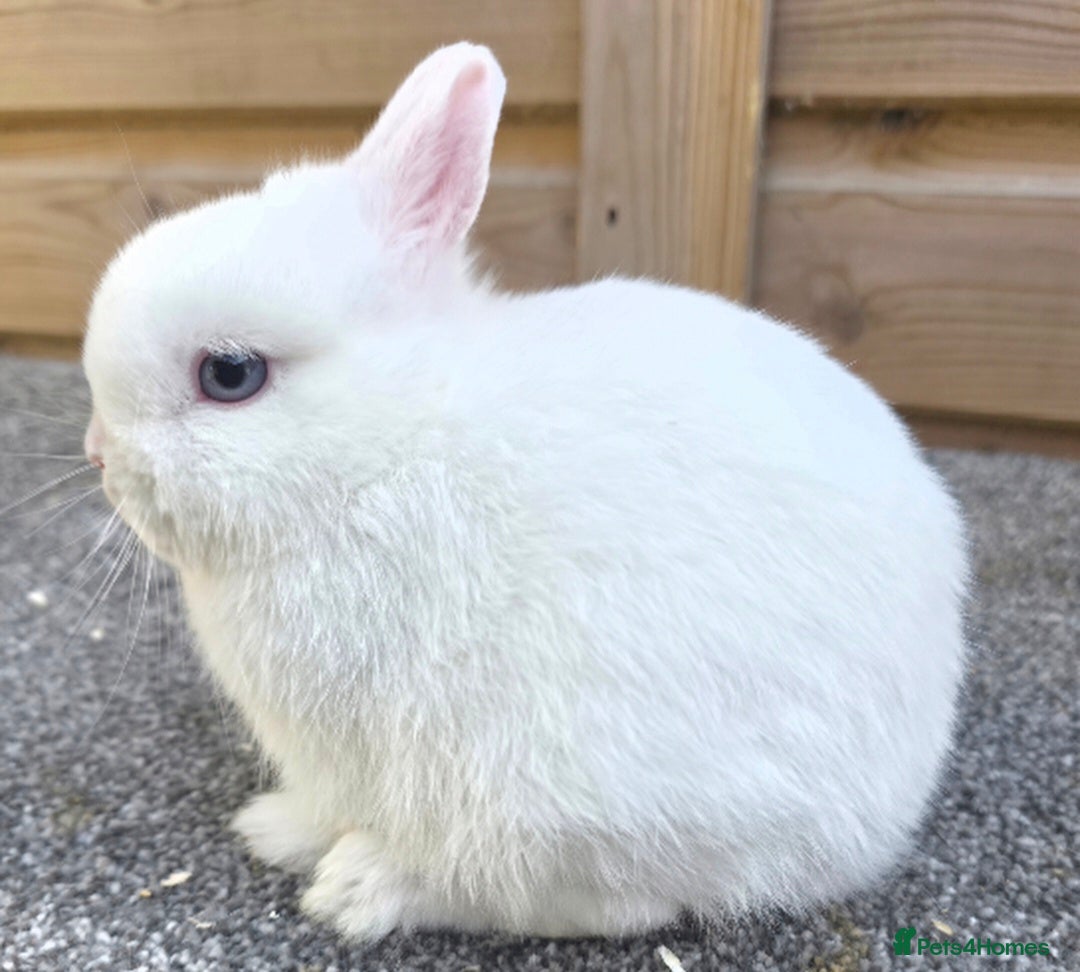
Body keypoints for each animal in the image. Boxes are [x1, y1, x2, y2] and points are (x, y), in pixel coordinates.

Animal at [80, 42, 969, 940]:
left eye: (231, 374)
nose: (98, 457)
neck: (386, 449)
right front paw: (275, 826)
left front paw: (330, 869)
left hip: (584, 791)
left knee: (594, 899)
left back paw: (360, 889)